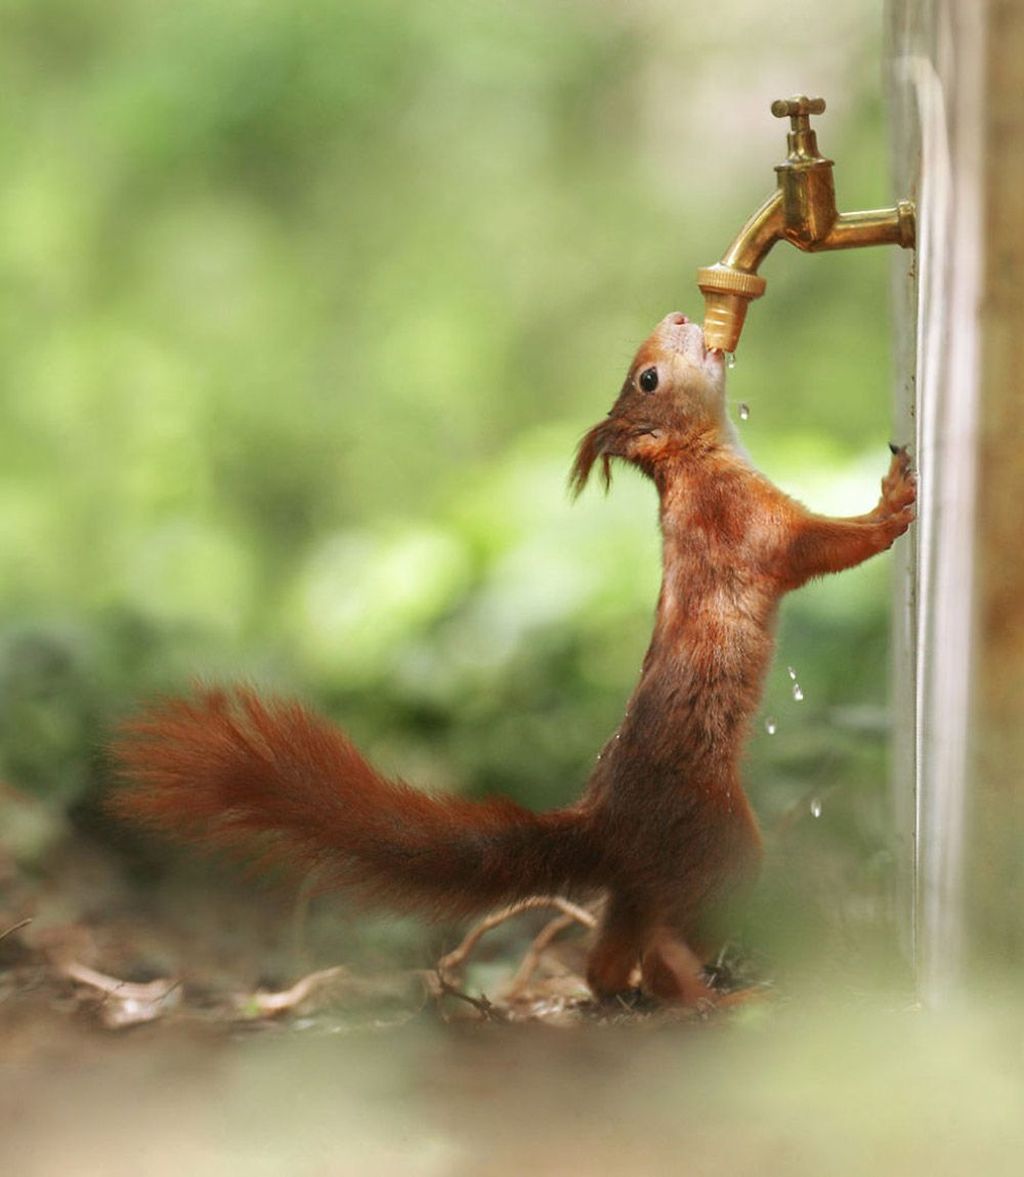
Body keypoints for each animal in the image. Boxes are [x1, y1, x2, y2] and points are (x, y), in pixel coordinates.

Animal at [114, 310, 922, 1002]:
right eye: (648, 379)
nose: (680, 315)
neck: (693, 464)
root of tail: (607, 824)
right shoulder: (745, 524)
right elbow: (819, 547)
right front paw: (891, 506)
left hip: (644, 880)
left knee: (611, 949)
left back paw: (617, 988)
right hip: (719, 850)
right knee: (665, 943)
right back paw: (710, 997)